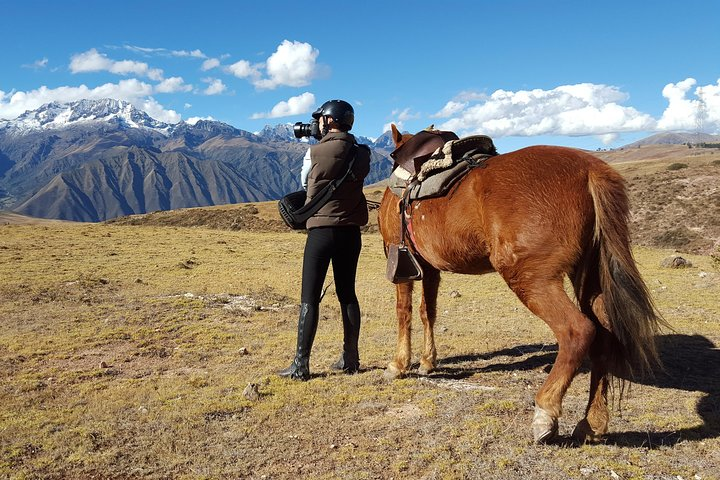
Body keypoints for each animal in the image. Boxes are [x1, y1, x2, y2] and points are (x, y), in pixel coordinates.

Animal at [377, 124, 667, 444]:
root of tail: (590, 169)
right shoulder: (429, 268)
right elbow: (427, 312)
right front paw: (428, 361)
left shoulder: (400, 260)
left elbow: (403, 312)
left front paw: (399, 364)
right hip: (589, 276)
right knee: (604, 337)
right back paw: (592, 423)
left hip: (530, 278)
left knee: (577, 331)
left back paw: (546, 412)